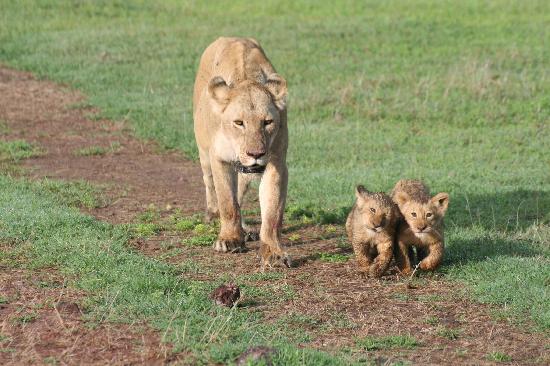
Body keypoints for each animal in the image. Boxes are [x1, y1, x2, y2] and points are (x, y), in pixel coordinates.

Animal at [194, 38, 292, 268]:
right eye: (239, 123)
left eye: (267, 122)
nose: (256, 153)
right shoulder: (219, 158)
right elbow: (227, 202)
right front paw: (229, 240)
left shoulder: (276, 162)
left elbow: (272, 212)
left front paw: (273, 252)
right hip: (203, 151)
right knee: (210, 184)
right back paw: (212, 214)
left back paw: (245, 229)